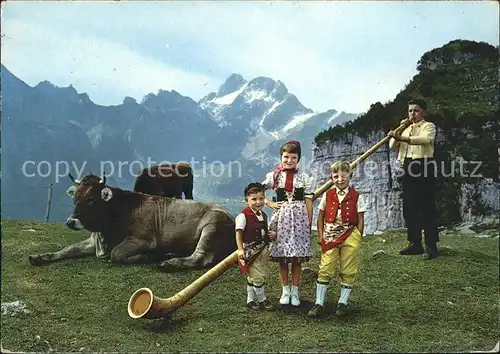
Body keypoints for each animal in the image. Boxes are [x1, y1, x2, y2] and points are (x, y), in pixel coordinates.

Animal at [27, 174, 236, 272]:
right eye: (75, 197)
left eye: (91, 199)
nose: (71, 222)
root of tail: (231, 216)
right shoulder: (93, 241)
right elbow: (69, 249)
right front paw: (40, 257)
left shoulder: (144, 240)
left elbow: (116, 254)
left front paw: (148, 256)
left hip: (211, 227)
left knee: (201, 258)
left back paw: (168, 262)